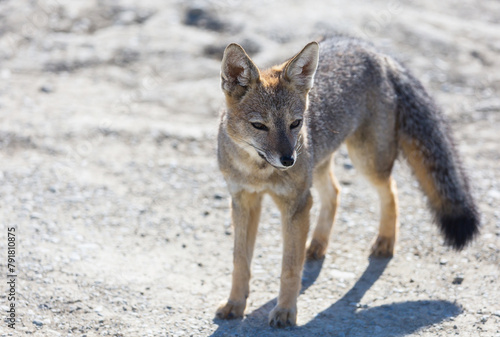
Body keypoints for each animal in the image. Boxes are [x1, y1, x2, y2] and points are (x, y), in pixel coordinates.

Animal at [215, 36, 480, 326]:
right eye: (259, 126)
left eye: (295, 124)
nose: (288, 160)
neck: (259, 171)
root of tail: (372, 50)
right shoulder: (243, 201)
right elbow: (240, 262)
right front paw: (235, 304)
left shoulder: (296, 204)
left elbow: (290, 267)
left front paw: (285, 311)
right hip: (320, 166)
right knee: (335, 192)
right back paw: (318, 244)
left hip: (366, 162)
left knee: (391, 190)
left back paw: (385, 241)